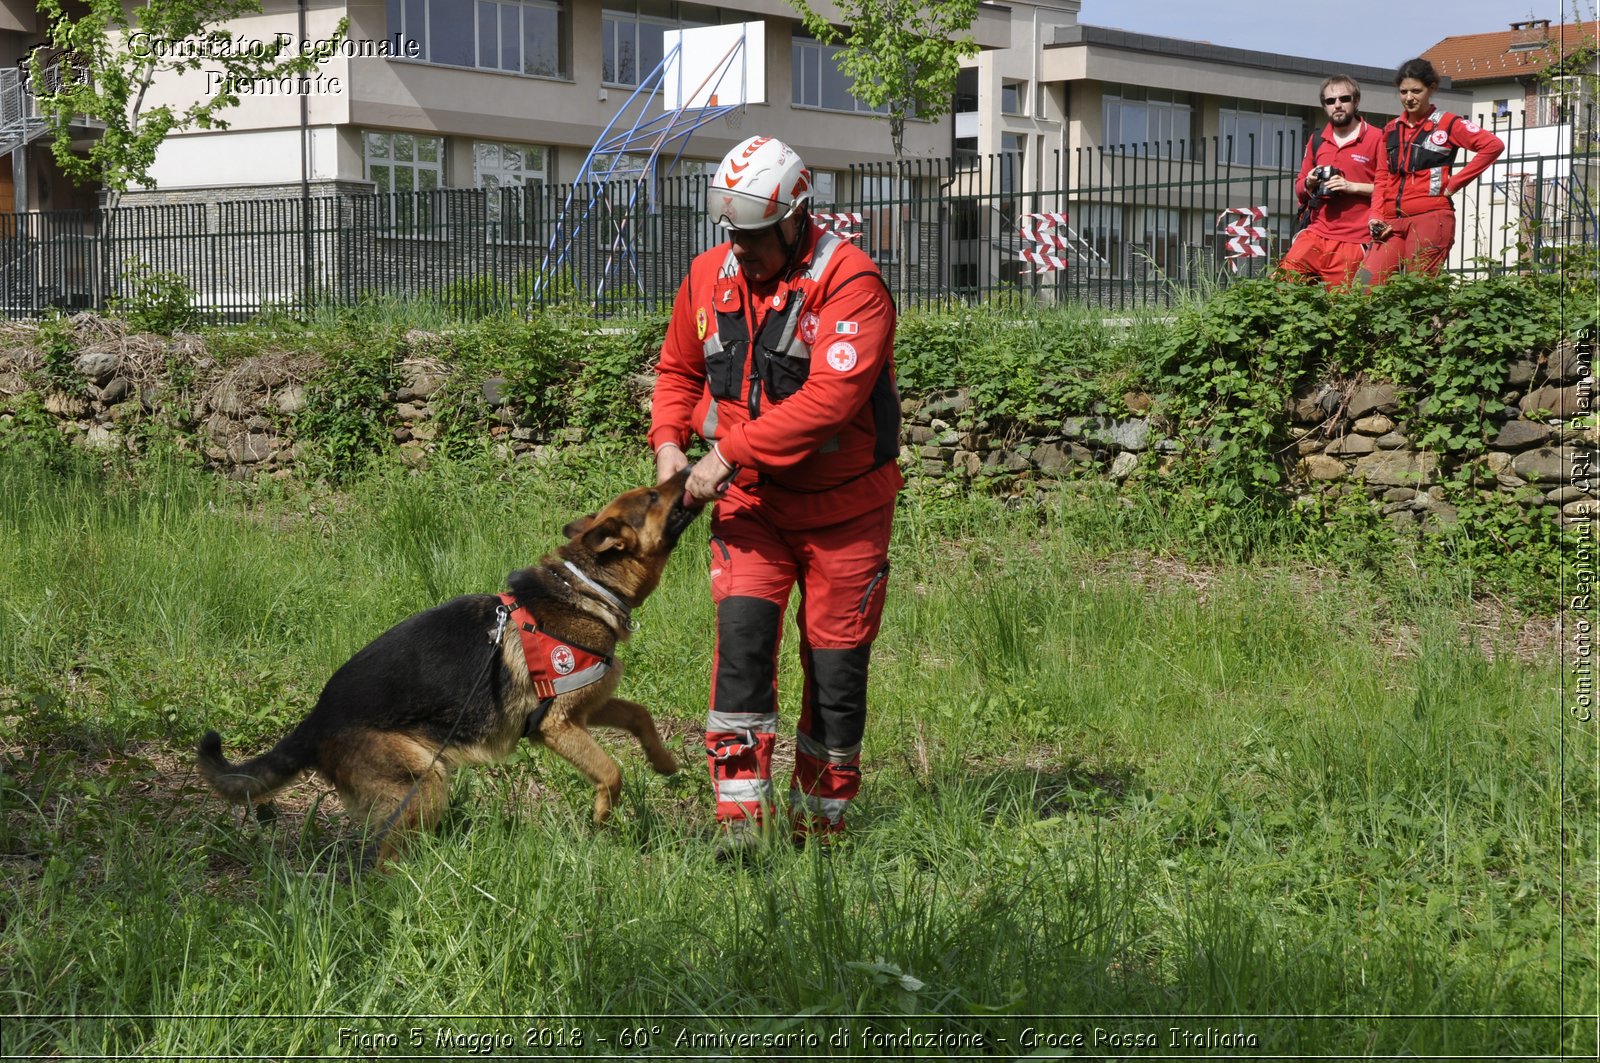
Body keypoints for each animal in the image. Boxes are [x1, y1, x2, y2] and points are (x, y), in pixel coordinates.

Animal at [198, 470, 700, 864]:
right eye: (653, 496)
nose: (688, 467)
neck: (590, 586)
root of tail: (316, 720)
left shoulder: (588, 709)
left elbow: (640, 715)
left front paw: (664, 761)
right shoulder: (557, 726)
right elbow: (611, 771)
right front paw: (601, 813)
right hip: (424, 784)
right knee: (385, 861)